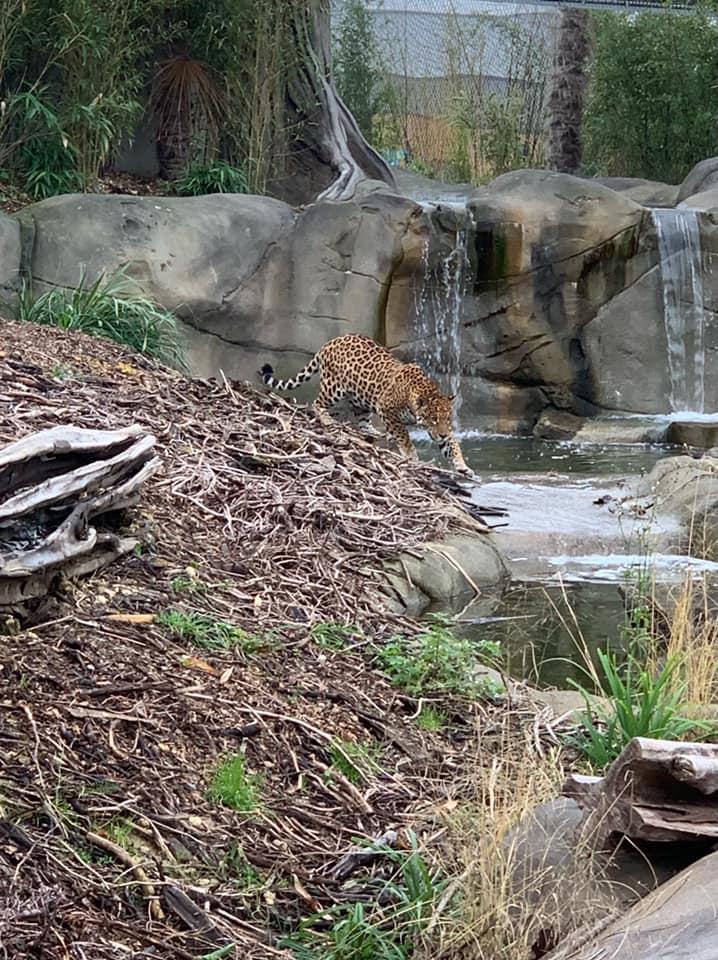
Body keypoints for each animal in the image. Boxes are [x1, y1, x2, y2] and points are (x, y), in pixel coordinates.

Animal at [259, 334, 472, 476]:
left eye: (447, 419)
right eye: (432, 419)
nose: (441, 433)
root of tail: (331, 342)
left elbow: (453, 445)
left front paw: (463, 466)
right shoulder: (387, 410)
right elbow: (403, 436)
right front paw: (411, 454)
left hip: (360, 400)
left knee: (362, 422)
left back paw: (377, 434)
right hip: (333, 388)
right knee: (317, 404)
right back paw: (328, 419)